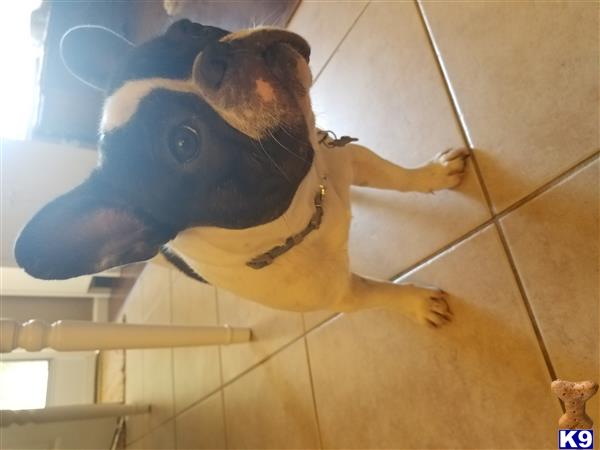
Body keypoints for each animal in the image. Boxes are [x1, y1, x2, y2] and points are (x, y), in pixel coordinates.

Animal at [15, 20, 468, 326]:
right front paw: (419, 303)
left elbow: (397, 176)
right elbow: (380, 293)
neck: (305, 206)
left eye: (189, 28)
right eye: (184, 143)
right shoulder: (341, 294)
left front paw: (435, 174)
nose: (213, 60)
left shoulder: (345, 158)